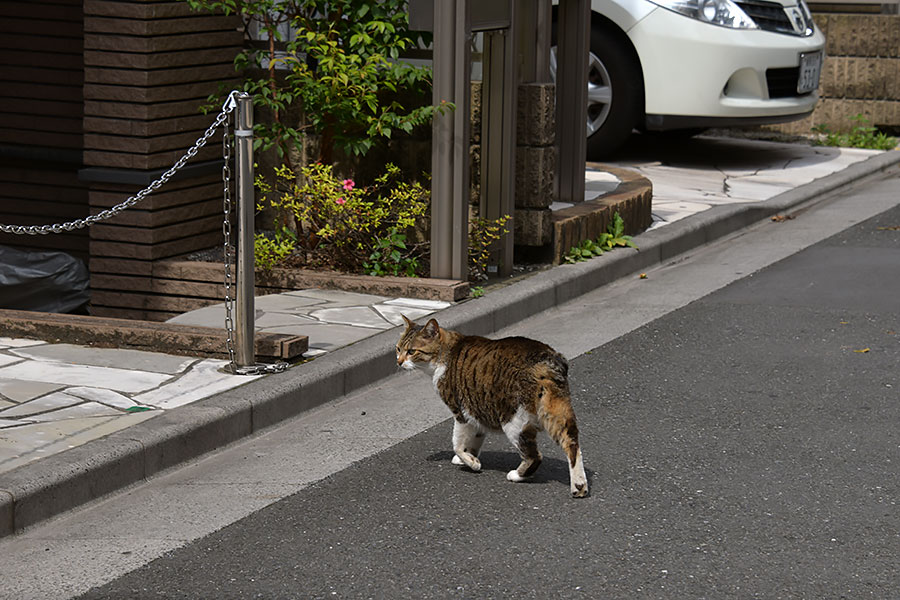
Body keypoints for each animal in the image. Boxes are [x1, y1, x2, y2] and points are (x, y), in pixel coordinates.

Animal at [398, 314, 588, 496]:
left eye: (411, 351)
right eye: (398, 349)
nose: (398, 362)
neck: (445, 354)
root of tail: (547, 359)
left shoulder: (460, 412)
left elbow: (457, 443)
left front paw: (471, 462)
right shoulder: (476, 411)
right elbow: (474, 440)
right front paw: (469, 458)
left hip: (513, 421)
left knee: (535, 456)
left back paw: (517, 475)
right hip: (556, 412)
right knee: (572, 444)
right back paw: (579, 486)